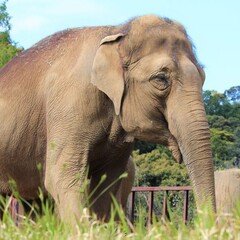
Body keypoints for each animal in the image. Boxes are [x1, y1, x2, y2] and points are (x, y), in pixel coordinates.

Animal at [0, 15, 216, 225]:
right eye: (161, 79)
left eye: (203, 77)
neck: (116, 32)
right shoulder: (70, 104)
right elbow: (62, 177)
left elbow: (106, 185)